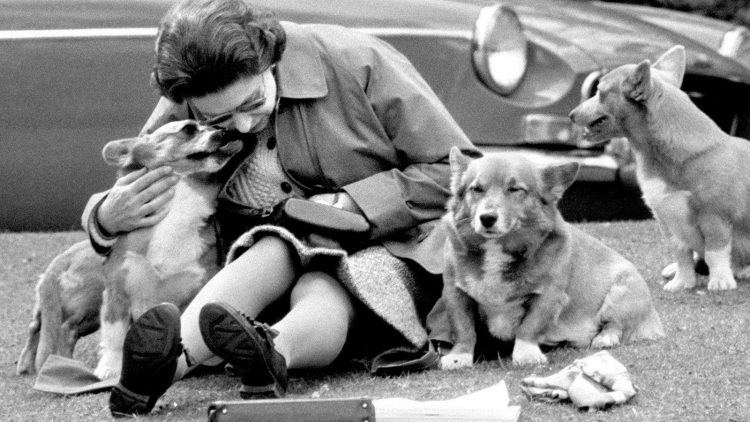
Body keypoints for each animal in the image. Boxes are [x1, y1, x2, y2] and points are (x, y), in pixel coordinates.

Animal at [16, 120, 244, 378]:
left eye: (215, 125)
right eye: (188, 129)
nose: (227, 131)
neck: (178, 208)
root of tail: (61, 260)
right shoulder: (117, 294)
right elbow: (115, 338)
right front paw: (109, 369)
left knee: (52, 328)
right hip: (92, 298)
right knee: (55, 328)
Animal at [440, 149, 664, 370]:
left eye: (515, 189)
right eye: (477, 189)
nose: (487, 218)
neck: (497, 250)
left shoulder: (549, 295)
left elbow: (530, 327)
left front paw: (526, 354)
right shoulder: (455, 294)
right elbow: (464, 329)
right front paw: (459, 357)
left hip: (622, 293)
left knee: (615, 325)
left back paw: (605, 338)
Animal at [568, 45, 750, 290]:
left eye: (599, 91)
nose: (571, 115)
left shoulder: (715, 218)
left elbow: (715, 253)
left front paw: (720, 281)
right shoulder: (669, 224)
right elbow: (682, 255)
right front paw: (682, 282)